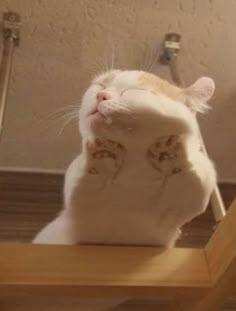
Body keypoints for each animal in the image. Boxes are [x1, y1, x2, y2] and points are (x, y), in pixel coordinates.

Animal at [33, 71, 218, 311]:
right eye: (101, 85)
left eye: (133, 91)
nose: (101, 96)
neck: (134, 172)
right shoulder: (82, 197)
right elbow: (91, 179)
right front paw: (104, 154)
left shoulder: (192, 193)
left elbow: (186, 179)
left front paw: (168, 156)